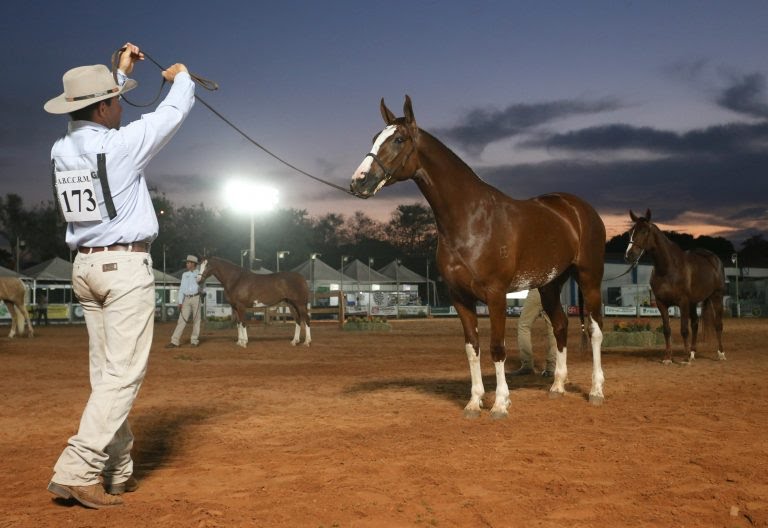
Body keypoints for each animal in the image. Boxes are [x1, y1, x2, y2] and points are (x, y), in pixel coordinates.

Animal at [348, 94, 608, 416]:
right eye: (375, 137)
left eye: (398, 139)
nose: (358, 181)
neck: (472, 218)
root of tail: (578, 209)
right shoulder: (460, 296)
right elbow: (472, 348)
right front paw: (474, 402)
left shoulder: (495, 295)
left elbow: (497, 348)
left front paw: (500, 404)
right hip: (550, 284)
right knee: (561, 326)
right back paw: (557, 386)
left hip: (589, 277)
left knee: (595, 329)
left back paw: (596, 390)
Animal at [624, 209, 728, 364]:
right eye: (631, 231)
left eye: (644, 231)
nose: (629, 255)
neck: (668, 268)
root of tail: (715, 259)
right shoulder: (661, 303)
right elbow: (667, 330)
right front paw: (668, 357)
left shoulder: (682, 302)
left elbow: (684, 330)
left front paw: (685, 358)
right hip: (694, 302)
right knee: (695, 323)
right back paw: (693, 352)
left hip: (716, 296)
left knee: (717, 324)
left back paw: (720, 354)